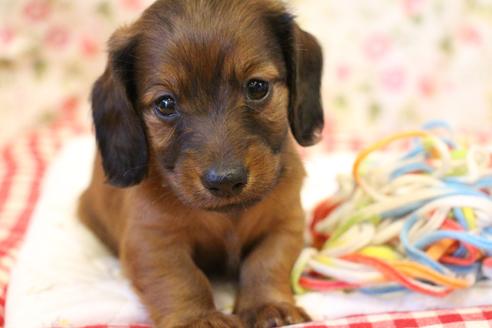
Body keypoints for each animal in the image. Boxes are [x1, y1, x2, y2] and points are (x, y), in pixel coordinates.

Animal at [79, 0, 324, 326]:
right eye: (165, 104)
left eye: (257, 87)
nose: (226, 181)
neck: (228, 215)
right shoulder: (151, 241)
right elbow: (181, 278)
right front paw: (198, 318)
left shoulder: (285, 223)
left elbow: (266, 263)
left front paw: (269, 305)